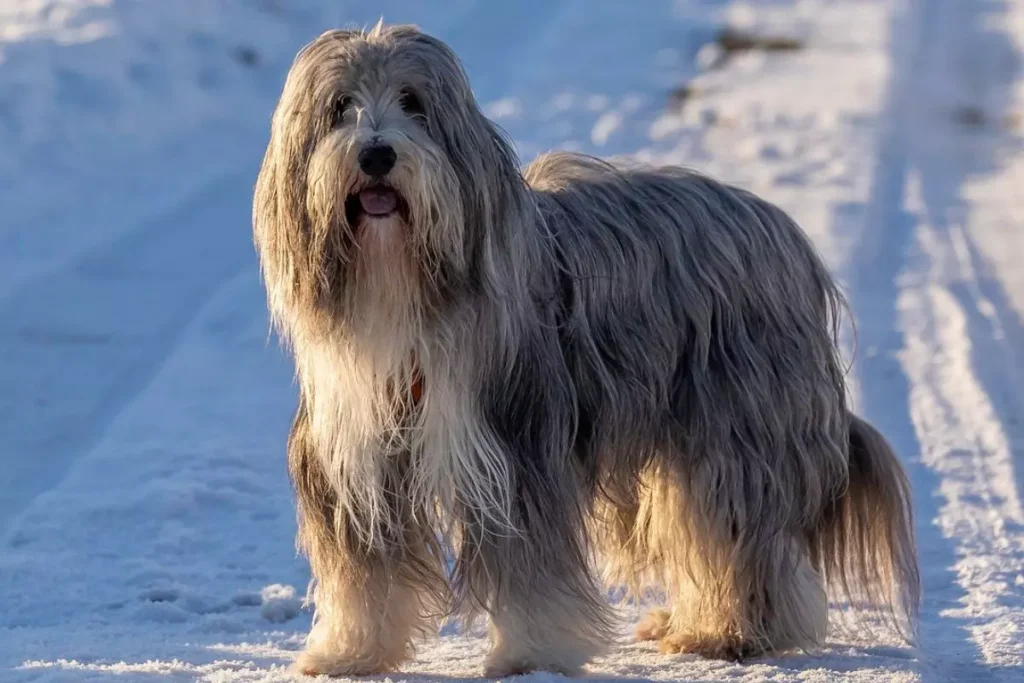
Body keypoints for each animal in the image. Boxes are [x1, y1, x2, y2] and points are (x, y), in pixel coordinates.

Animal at [253, 21, 921, 679]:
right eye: (339, 107)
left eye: (414, 103)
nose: (376, 153)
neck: (401, 289)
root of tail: (784, 232)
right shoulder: (358, 457)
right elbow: (366, 574)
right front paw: (350, 652)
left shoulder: (516, 450)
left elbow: (532, 570)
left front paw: (530, 655)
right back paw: (686, 621)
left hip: (736, 428)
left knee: (740, 535)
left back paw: (731, 632)